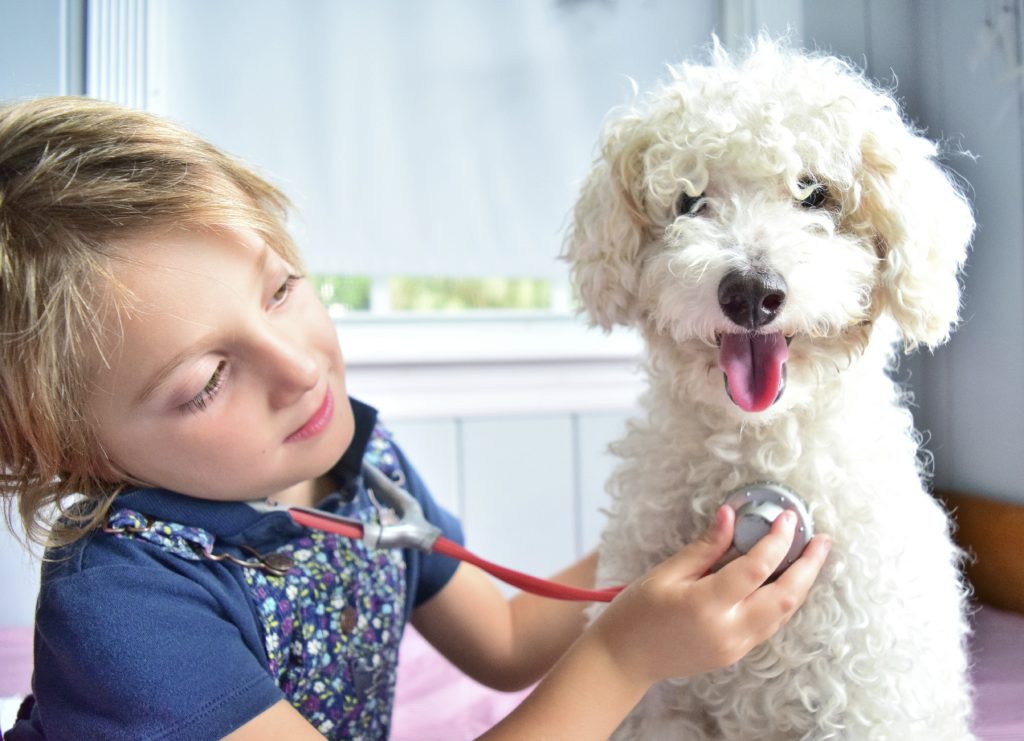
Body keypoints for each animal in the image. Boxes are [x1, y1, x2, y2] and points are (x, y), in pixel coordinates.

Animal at [569, 40, 974, 741]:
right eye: (689, 200)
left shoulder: (868, 700)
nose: (751, 293)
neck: (760, 449)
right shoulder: (657, 709)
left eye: (814, 194)